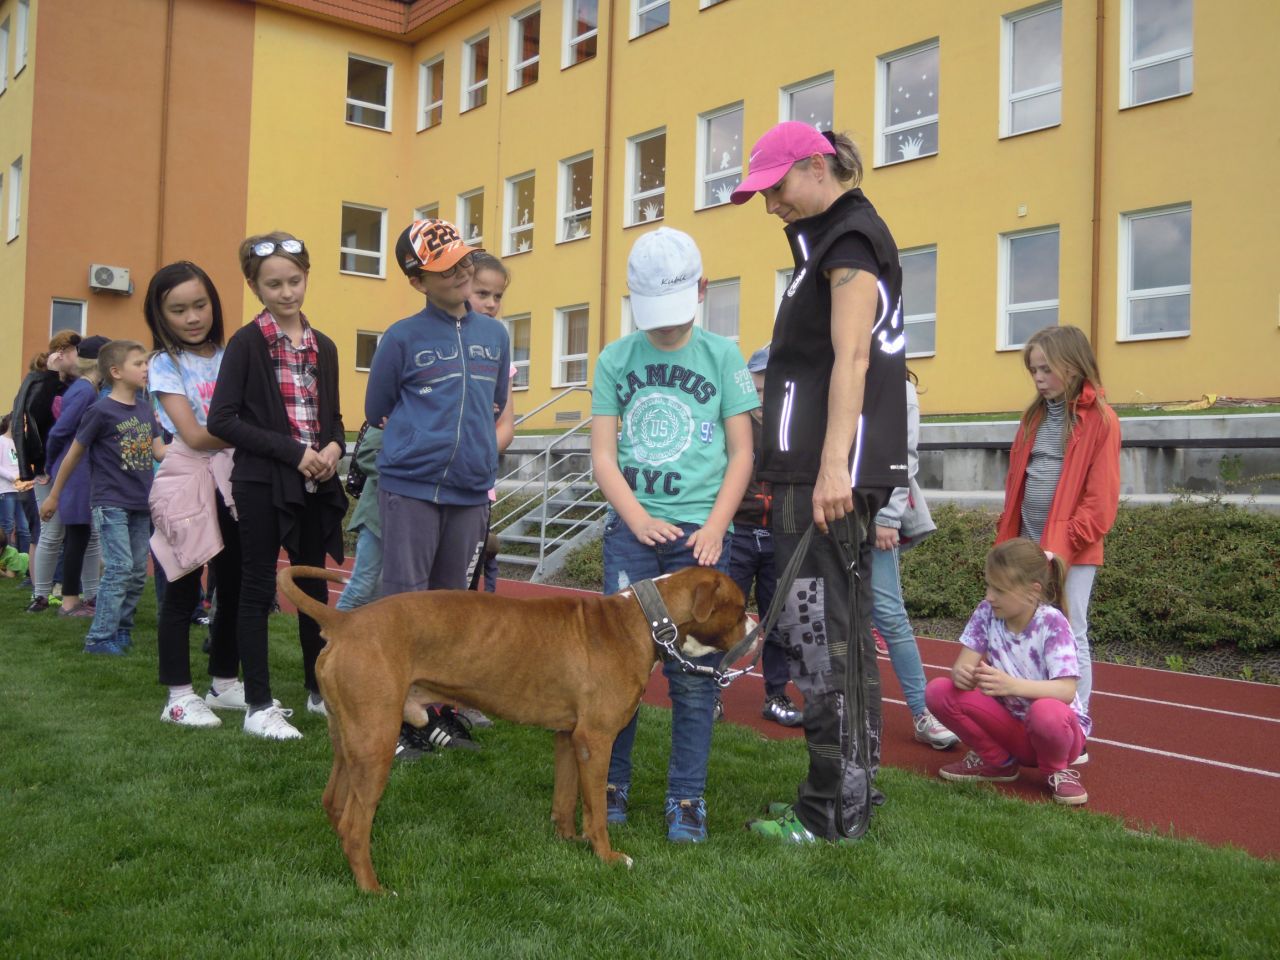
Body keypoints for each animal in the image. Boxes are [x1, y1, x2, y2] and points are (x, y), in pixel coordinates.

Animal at [276, 565, 749, 893]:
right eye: (743, 607)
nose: (756, 630)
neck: (648, 620)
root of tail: (346, 622)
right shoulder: (595, 740)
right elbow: (596, 809)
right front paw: (606, 855)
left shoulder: (570, 738)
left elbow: (565, 798)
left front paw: (568, 840)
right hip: (375, 745)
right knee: (357, 827)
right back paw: (372, 889)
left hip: (350, 741)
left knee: (335, 804)